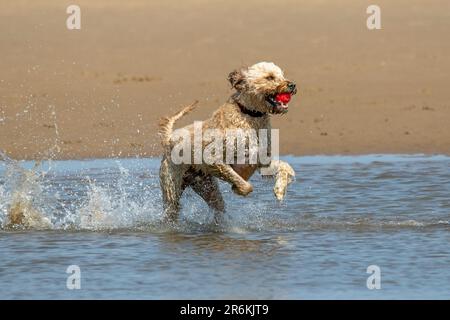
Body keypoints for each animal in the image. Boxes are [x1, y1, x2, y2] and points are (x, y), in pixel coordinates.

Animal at [160, 62, 298, 222]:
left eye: (282, 75)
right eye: (270, 77)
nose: (292, 85)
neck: (249, 115)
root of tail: (169, 138)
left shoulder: (262, 159)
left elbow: (286, 167)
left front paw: (280, 190)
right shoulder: (215, 159)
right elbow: (245, 185)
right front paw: (238, 189)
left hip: (207, 186)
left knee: (217, 206)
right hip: (172, 188)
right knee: (171, 209)